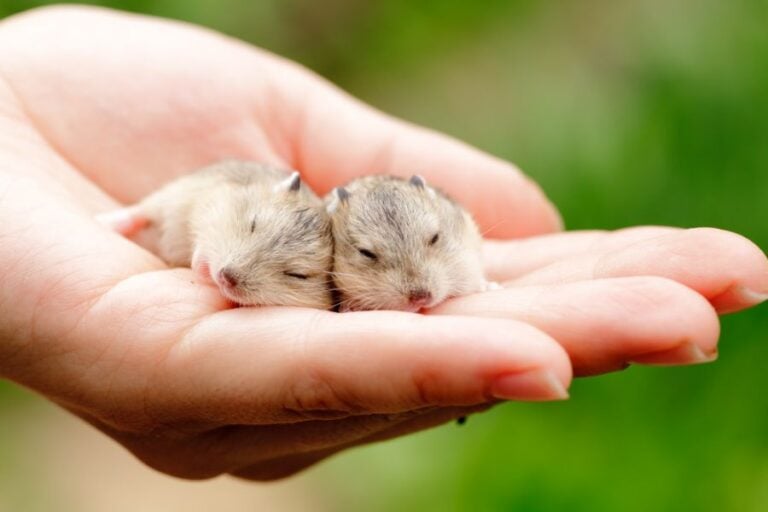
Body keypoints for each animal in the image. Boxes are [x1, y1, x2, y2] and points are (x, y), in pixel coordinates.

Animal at [97, 160, 334, 309]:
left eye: (297, 275)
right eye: (253, 224)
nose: (225, 277)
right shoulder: (212, 204)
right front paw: (202, 268)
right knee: (140, 212)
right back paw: (104, 222)